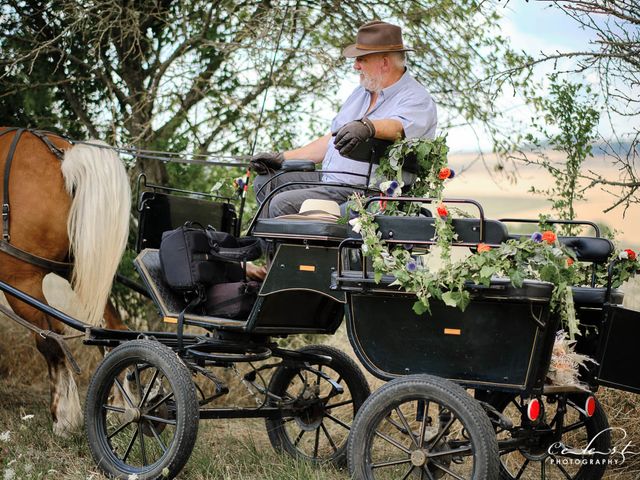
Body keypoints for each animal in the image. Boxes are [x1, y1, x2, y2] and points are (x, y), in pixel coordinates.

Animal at [0, 127, 131, 436]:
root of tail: (62, 155)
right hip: (80, 267)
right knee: (114, 330)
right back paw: (120, 407)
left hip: (21, 281)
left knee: (50, 340)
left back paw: (64, 417)